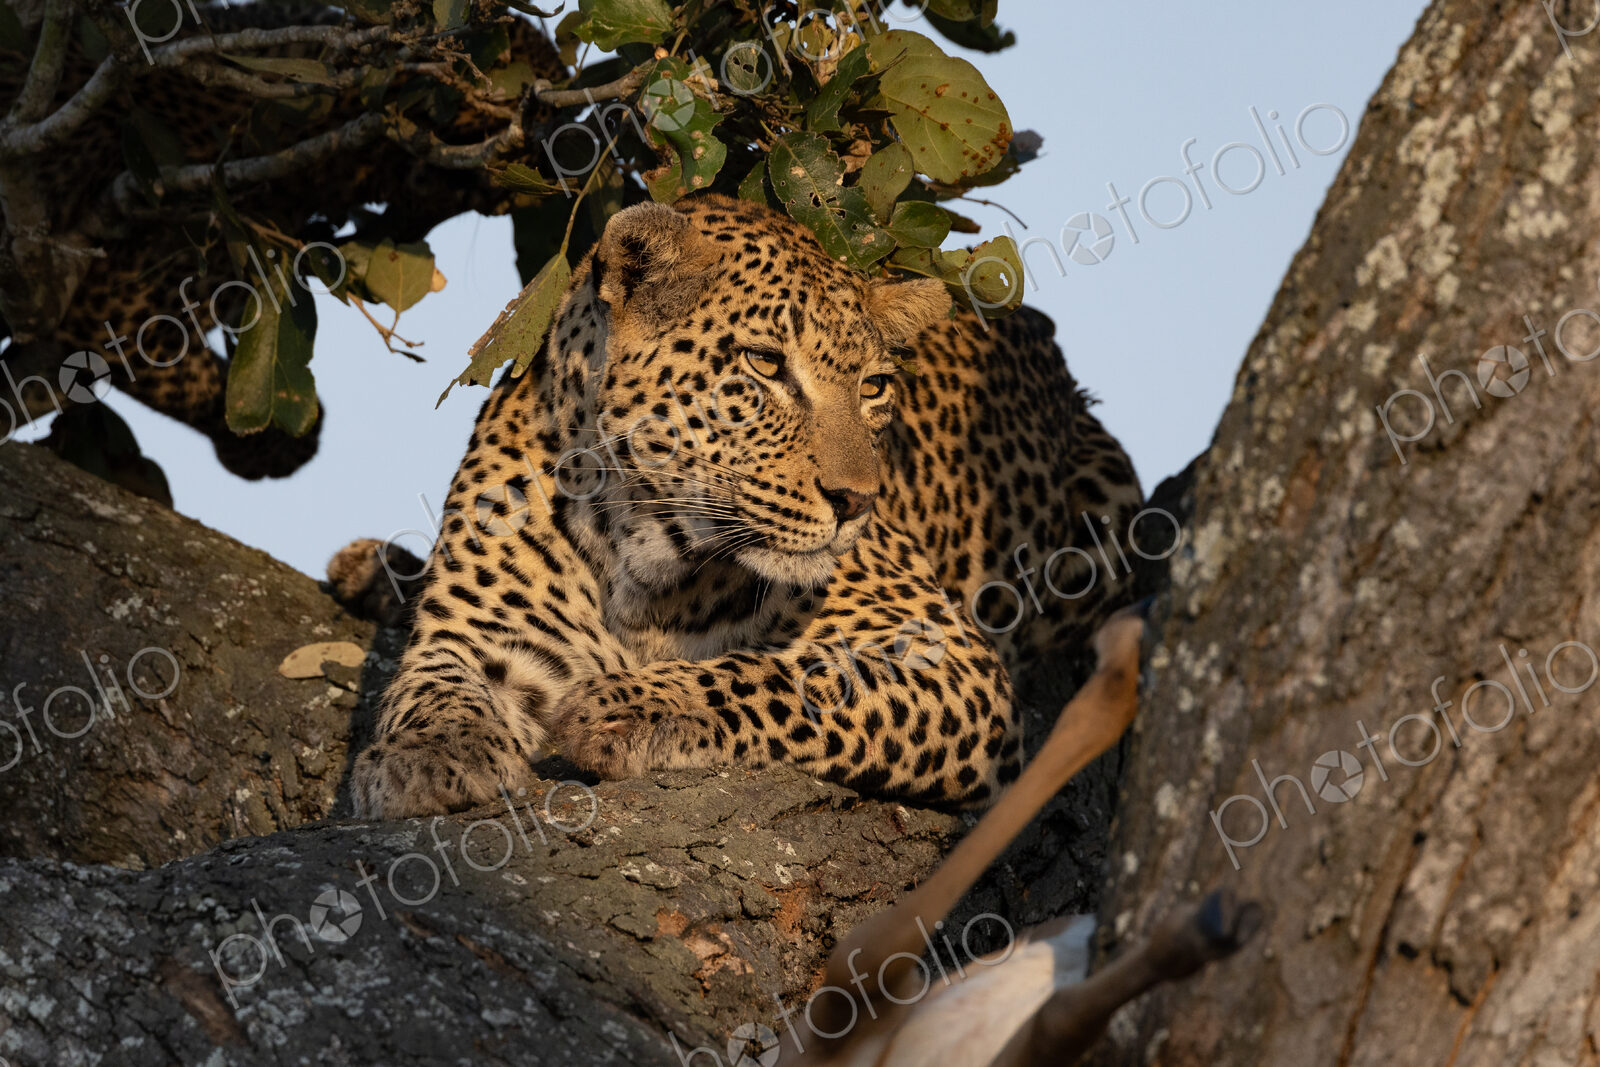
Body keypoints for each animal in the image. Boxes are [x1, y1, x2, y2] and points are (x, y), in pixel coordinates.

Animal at [330, 192, 1145, 819]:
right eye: (764, 364)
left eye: (874, 387)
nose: (858, 501)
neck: (645, 552)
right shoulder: (479, 633)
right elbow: (435, 684)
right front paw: (426, 754)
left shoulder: (946, 658)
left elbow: (791, 675)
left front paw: (630, 706)